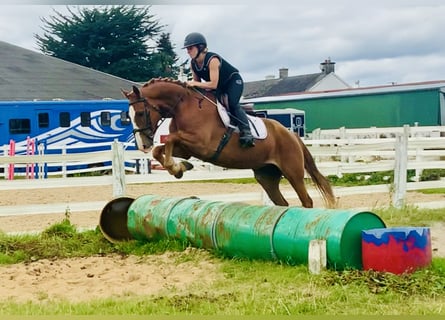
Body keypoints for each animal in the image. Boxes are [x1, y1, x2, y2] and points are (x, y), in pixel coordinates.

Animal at [121, 77, 332, 208]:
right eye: (128, 116)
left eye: (140, 113)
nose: (142, 145)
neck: (183, 105)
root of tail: (292, 135)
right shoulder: (187, 148)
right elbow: (160, 150)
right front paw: (179, 168)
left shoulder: (202, 144)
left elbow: (170, 140)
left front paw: (177, 168)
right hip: (266, 175)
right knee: (282, 202)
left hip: (292, 172)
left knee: (306, 201)